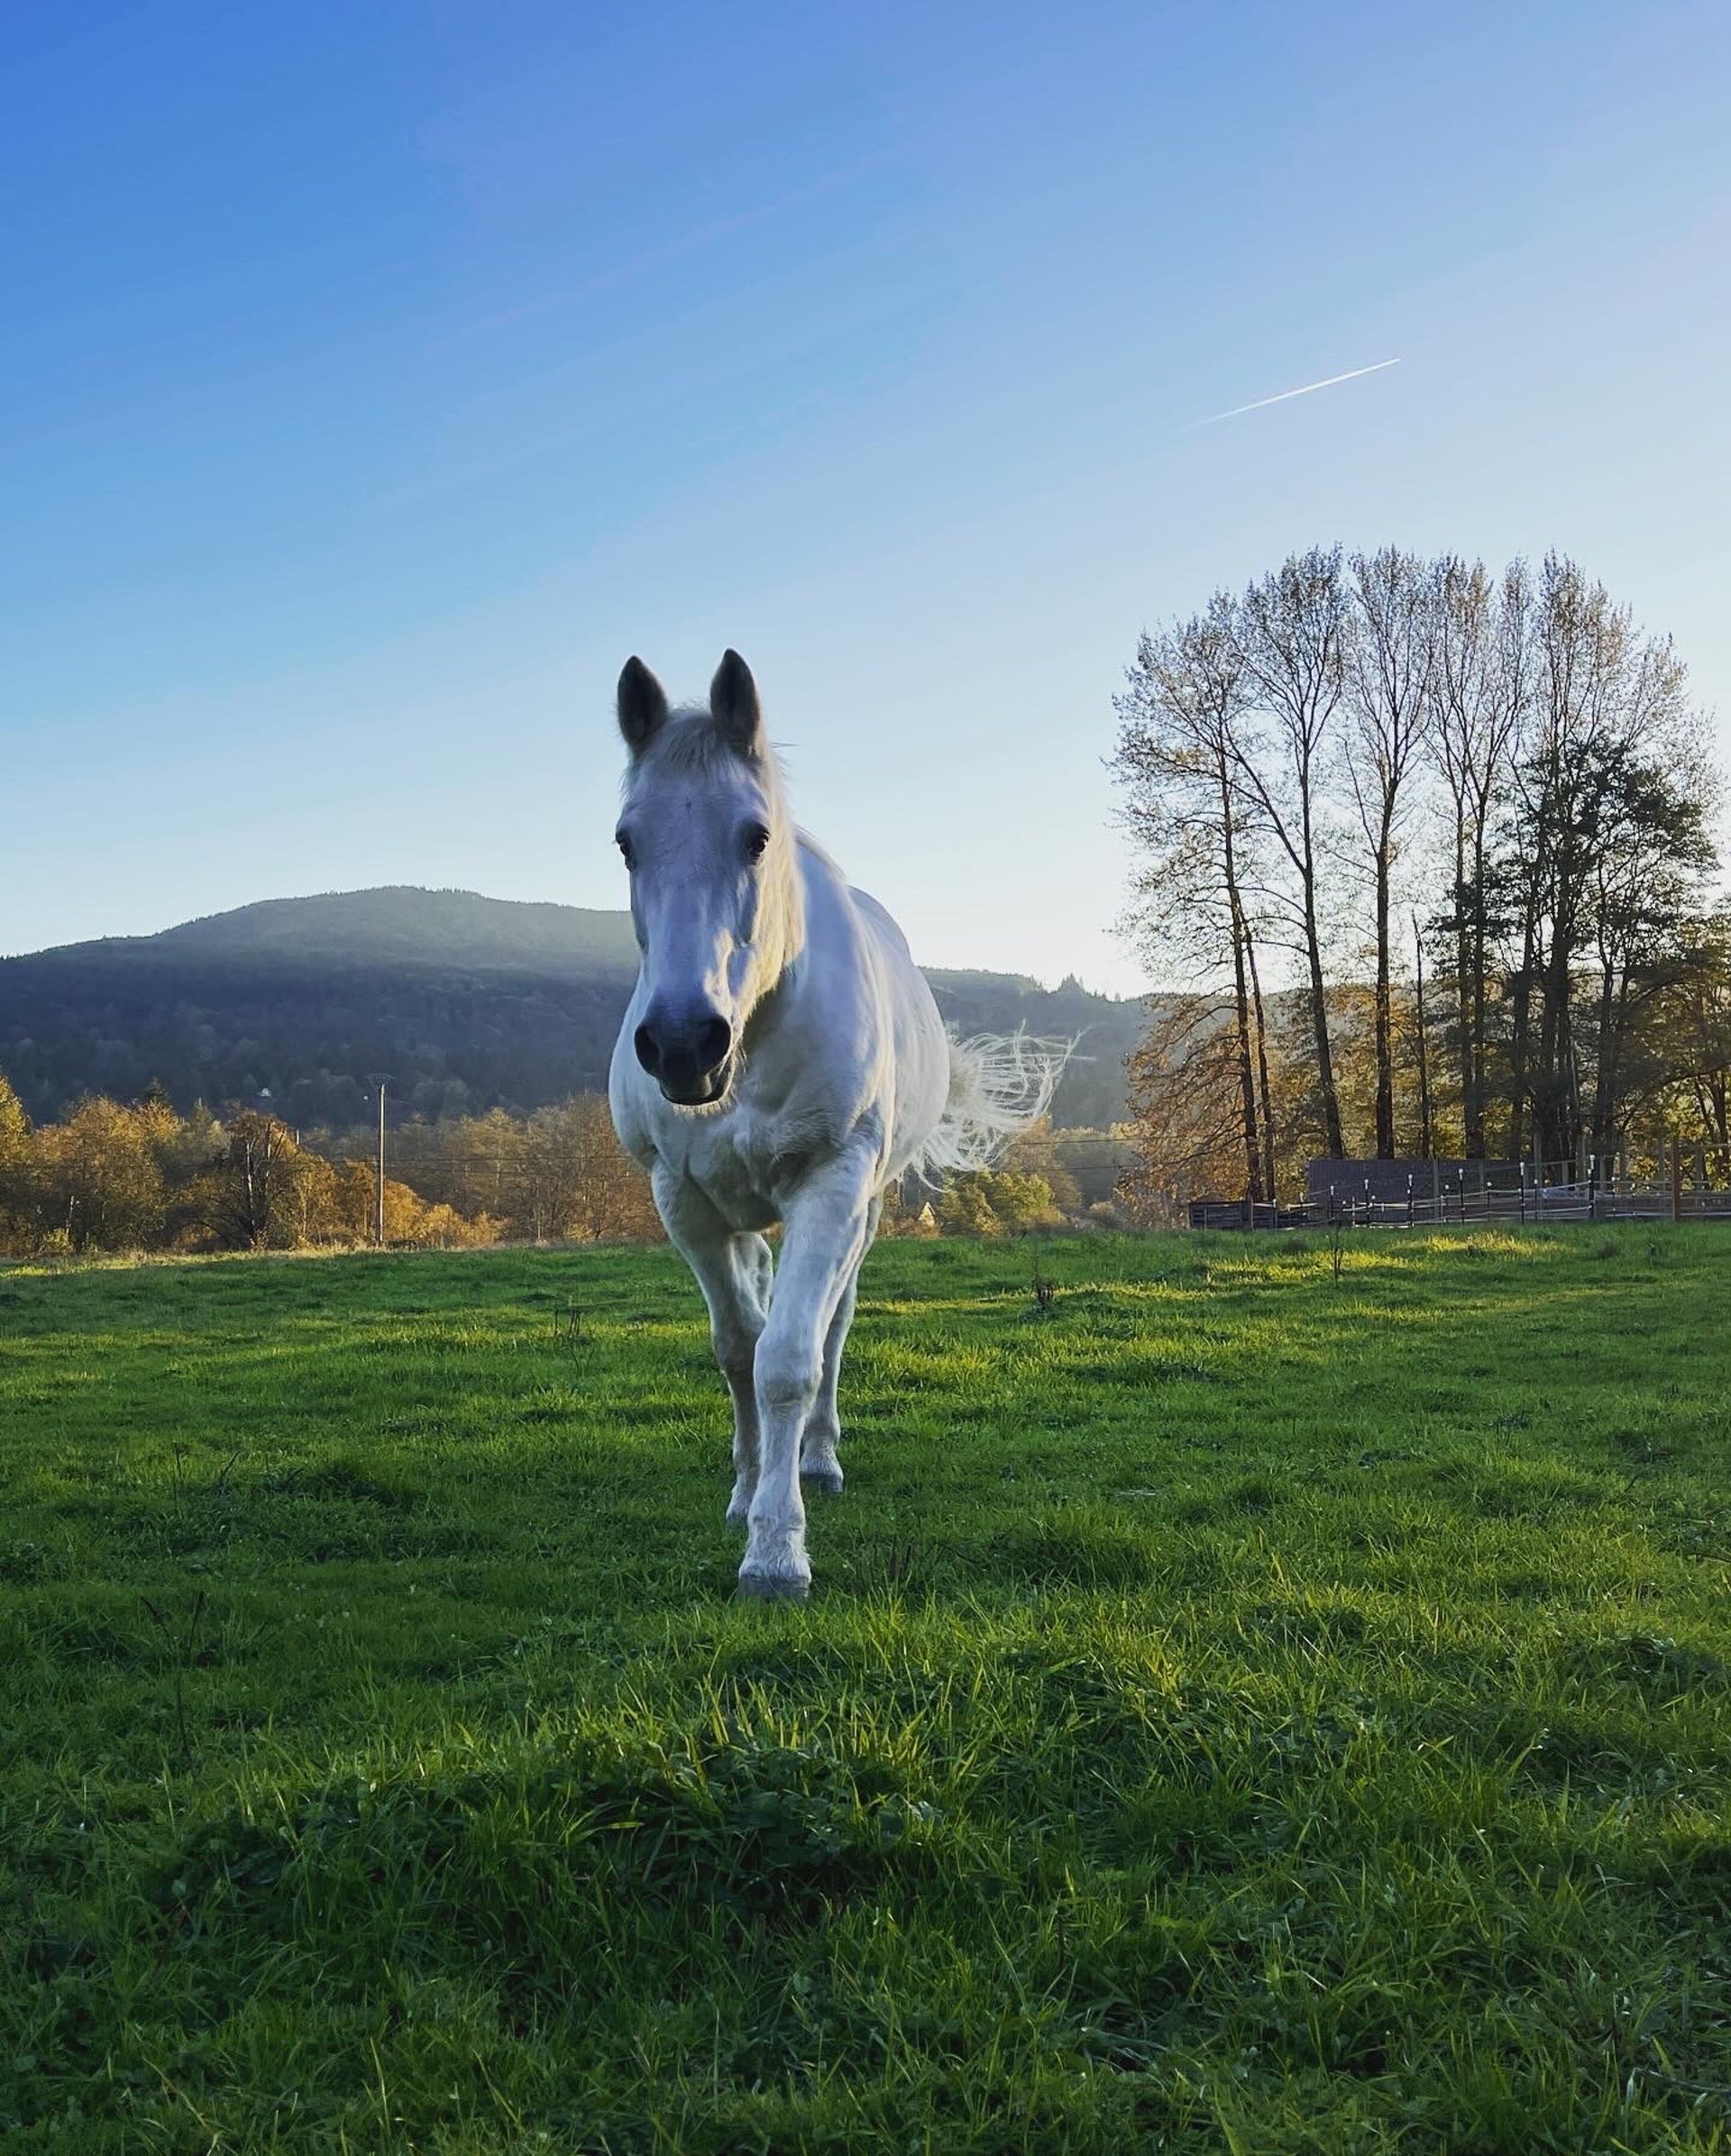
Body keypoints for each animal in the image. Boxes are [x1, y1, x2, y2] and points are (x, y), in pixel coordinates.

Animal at [607, 650, 1060, 1599]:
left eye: (756, 836)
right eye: (627, 842)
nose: (682, 1042)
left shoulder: (831, 1183)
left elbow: (788, 1359)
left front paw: (777, 1551)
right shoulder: (683, 1201)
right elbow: (736, 1347)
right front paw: (747, 1494)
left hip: (862, 1207)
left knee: (833, 1323)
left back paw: (816, 1458)